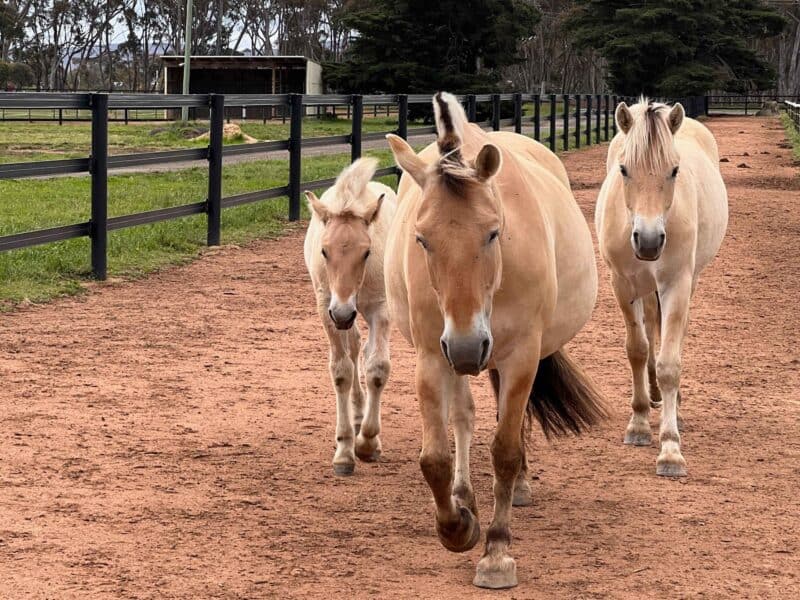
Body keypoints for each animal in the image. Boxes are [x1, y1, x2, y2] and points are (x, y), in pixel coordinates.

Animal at [303, 157, 397, 475]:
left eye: (366, 252)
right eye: (324, 251)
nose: (343, 313)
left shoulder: (380, 308)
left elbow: (377, 368)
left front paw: (368, 444)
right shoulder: (327, 308)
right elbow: (341, 371)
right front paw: (344, 451)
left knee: (365, 350)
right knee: (355, 347)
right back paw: (356, 414)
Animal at [384, 93, 606, 589]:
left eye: (492, 232)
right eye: (421, 239)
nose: (468, 347)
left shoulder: (521, 355)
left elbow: (504, 449)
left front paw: (497, 553)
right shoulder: (432, 356)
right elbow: (435, 458)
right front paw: (458, 526)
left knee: (510, 422)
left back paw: (517, 486)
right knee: (464, 416)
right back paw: (465, 494)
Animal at [596, 98, 728, 476]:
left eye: (674, 170)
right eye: (624, 169)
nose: (649, 240)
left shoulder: (676, 283)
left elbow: (670, 363)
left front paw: (670, 449)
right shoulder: (622, 285)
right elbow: (637, 350)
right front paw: (639, 423)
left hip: (688, 282)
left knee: (674, 333)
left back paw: (674, 407)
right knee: (651, 328)